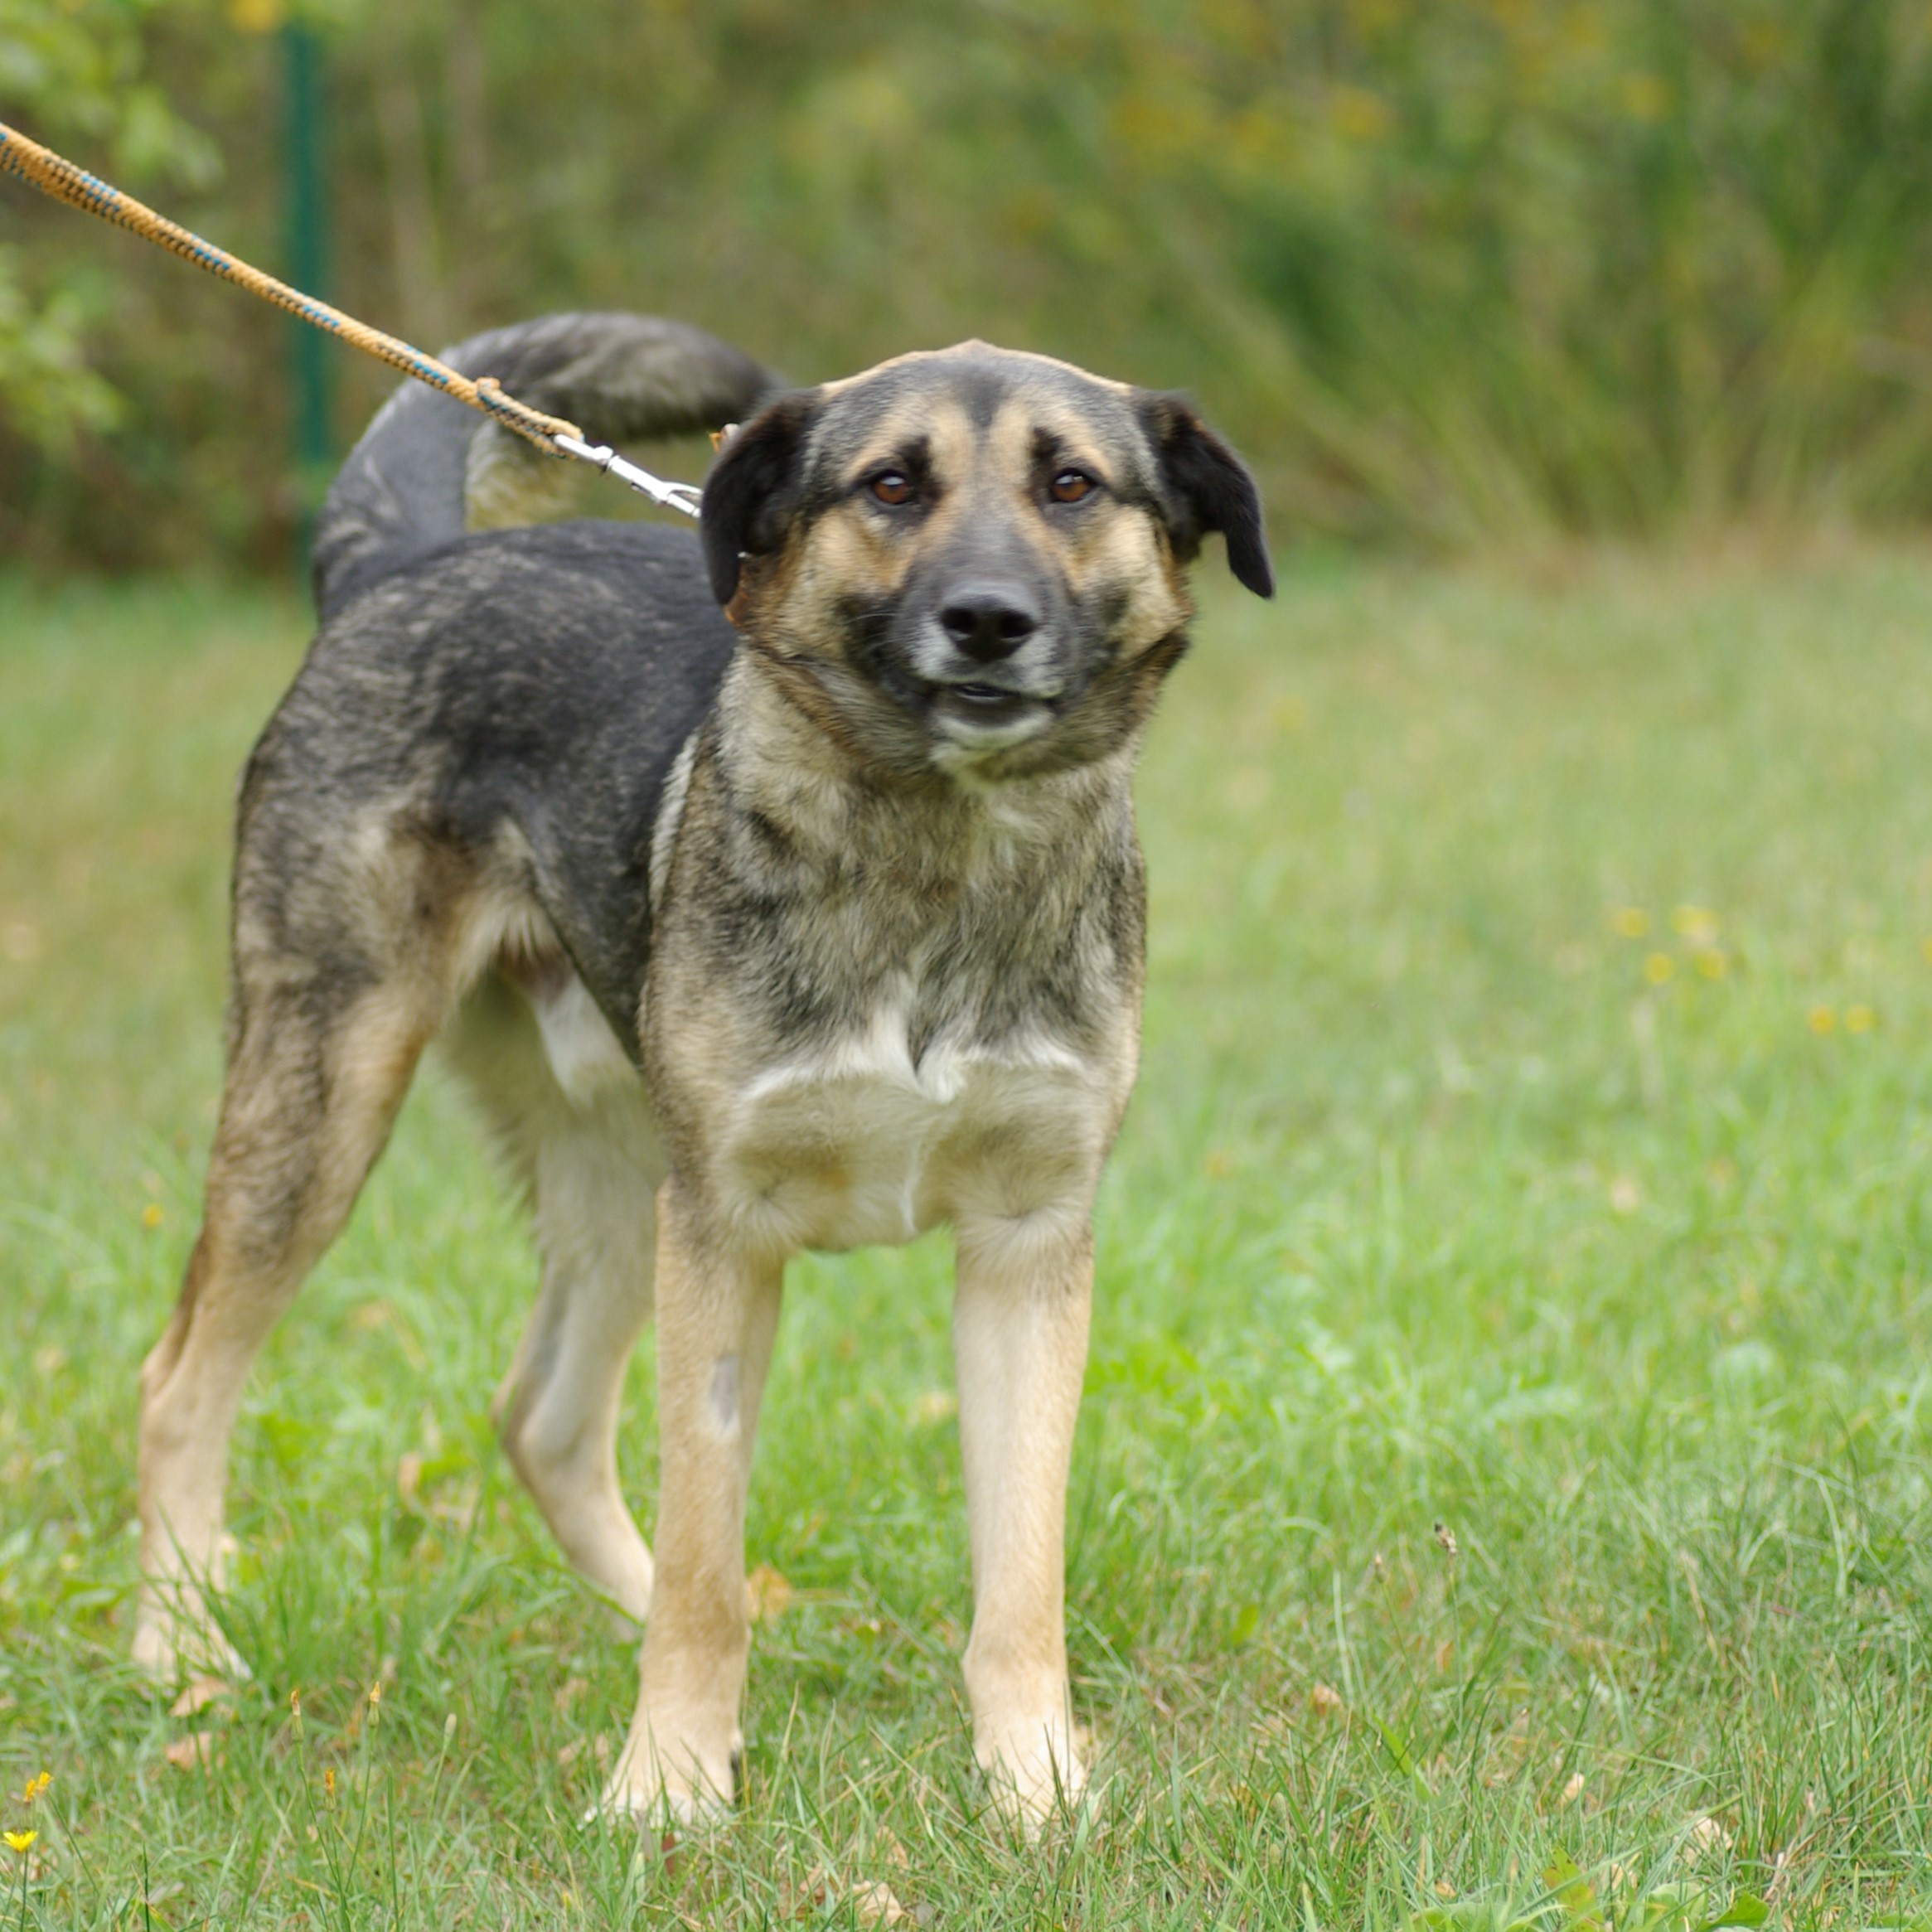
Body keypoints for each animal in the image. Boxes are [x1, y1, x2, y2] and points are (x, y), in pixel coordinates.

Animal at [132, 311, 1273, 1828]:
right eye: (891, 485)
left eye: (1072, 485)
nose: (985, 618)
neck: (935, 853)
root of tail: (398, 566)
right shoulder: (727, 1236)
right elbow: (701, 1566)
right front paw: (667, 1789)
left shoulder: (1027, 1247)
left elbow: (1015, 1580)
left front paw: (1032, 1787)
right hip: (327, 1113)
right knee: (181, 1383)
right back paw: (183, 1657)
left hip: (619, 1183)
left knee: (543, 1420)